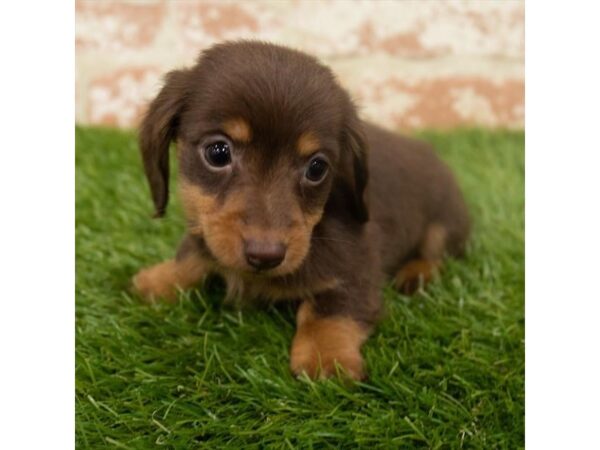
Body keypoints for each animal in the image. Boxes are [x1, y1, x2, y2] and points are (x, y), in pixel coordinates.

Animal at [134, 41, 472, 380]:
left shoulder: (358, 268)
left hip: (443, 225)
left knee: (439, 255)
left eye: (317, 167)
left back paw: (416, 274)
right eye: (217, 153)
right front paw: (159, 279)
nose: (265, 256)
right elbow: (193, 253)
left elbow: (328, 312)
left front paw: (326, 359)